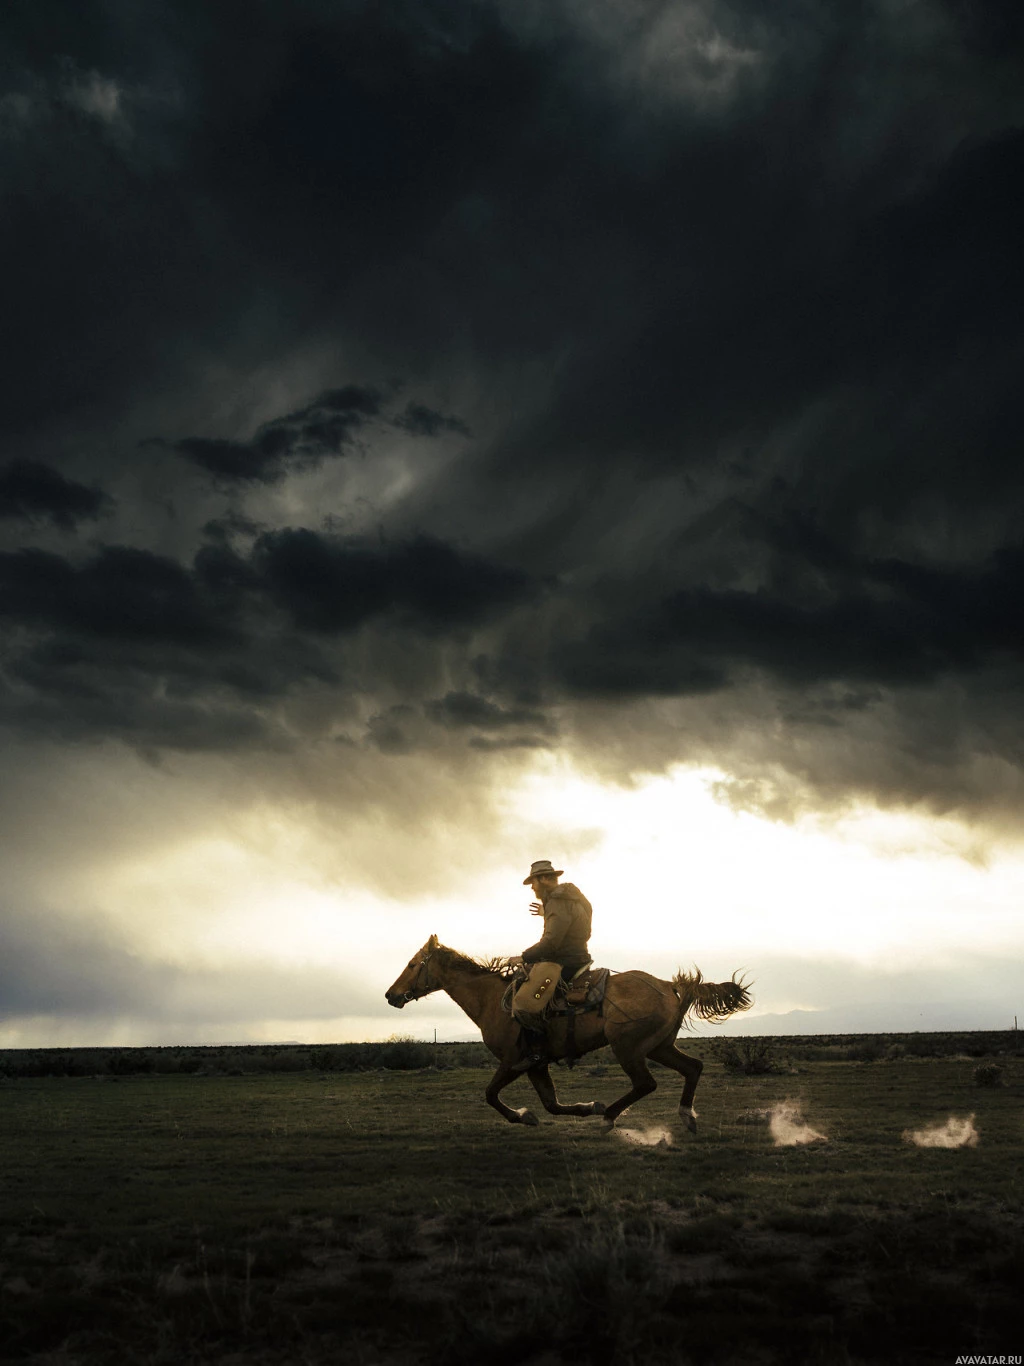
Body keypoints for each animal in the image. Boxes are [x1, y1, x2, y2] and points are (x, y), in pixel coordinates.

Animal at [385, 939, 753, 1131]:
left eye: (413, 964)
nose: (391, 995)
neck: (491, 999)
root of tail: (667, 984)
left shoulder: (514, 1061)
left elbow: (491, 1094)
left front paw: (522, 1115)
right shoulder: (537, 1065)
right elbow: (552, 1105)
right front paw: (585, 1107)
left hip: (628, 1047)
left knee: (646, 1083)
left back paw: (609, 1117)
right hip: (658, 1047)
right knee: (693, 1068)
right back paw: (685, 1115)